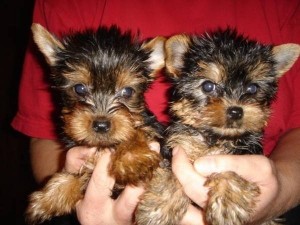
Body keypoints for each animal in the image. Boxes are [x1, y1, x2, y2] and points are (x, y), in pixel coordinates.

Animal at [25, 23, 165, 224]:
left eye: (127, 91)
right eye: (79, 88)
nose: (101, 125)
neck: (103, 147)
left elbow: (135, 132)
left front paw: (133, 159)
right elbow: (77, 175)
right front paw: (48, 198)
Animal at [137, 28, 300, 225]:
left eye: (252, 88)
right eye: (208, 86)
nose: (236, 111)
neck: (215, 137)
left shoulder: (246, 152)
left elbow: (232, 168)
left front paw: (228, 204)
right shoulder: (176, 147)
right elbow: (170, 172)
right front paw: (159, 209)